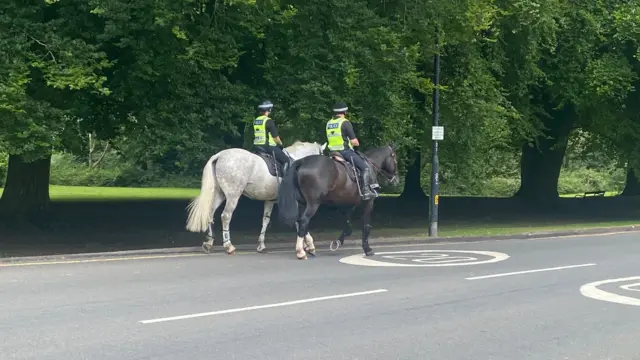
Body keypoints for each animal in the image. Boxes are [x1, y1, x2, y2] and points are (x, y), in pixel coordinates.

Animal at [184, 139, 324, 255]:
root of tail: (219, 156)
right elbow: (299, 220)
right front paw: (309, 245)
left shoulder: (270, 201)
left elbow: (265, 220)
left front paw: (261, 245)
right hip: (233, 195)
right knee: (226, 216)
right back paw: (228, 246)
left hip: (220, 194)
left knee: (210, 213)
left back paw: (208, 243)